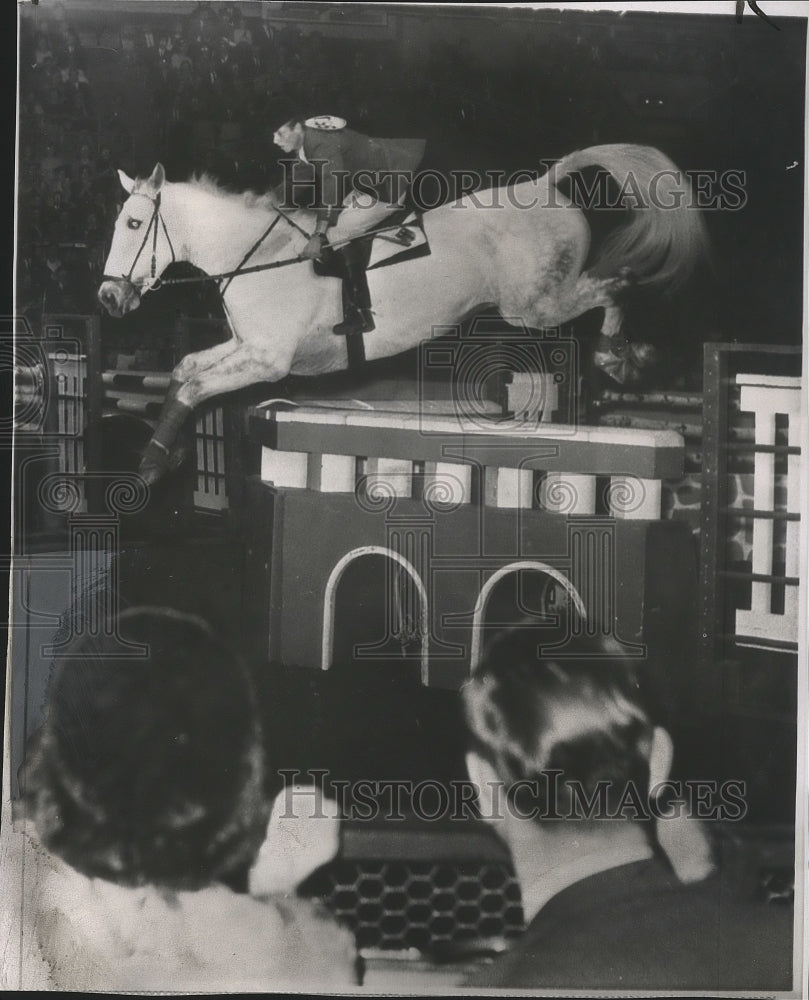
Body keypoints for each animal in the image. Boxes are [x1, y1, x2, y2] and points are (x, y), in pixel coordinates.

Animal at [98, 145, 708, 484]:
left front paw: (152, 460)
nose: (107, 299)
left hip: (533, 307)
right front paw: (168, 453)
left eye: (133, 224)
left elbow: (195, 386)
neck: (258, 256)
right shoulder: (245, 346)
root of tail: (542, 184)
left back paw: (620, 357)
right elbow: (184, 372)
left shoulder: (268, 361)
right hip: (534, 306)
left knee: (614, 288)